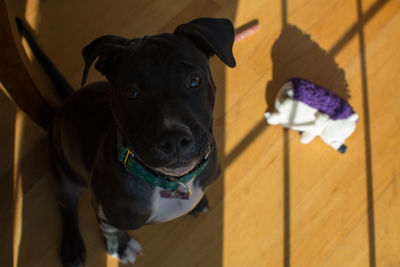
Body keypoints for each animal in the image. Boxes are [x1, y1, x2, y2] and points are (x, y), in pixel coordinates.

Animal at [17, 17, 236, 266]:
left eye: (194, 81)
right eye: (132, 93)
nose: (173, 139)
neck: (171, 183)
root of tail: (67, 101)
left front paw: (198, 202)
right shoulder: (105, 211)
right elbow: (111, 229)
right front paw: (120, 247)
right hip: (65, 177)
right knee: (66, 206)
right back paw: (72, 247)